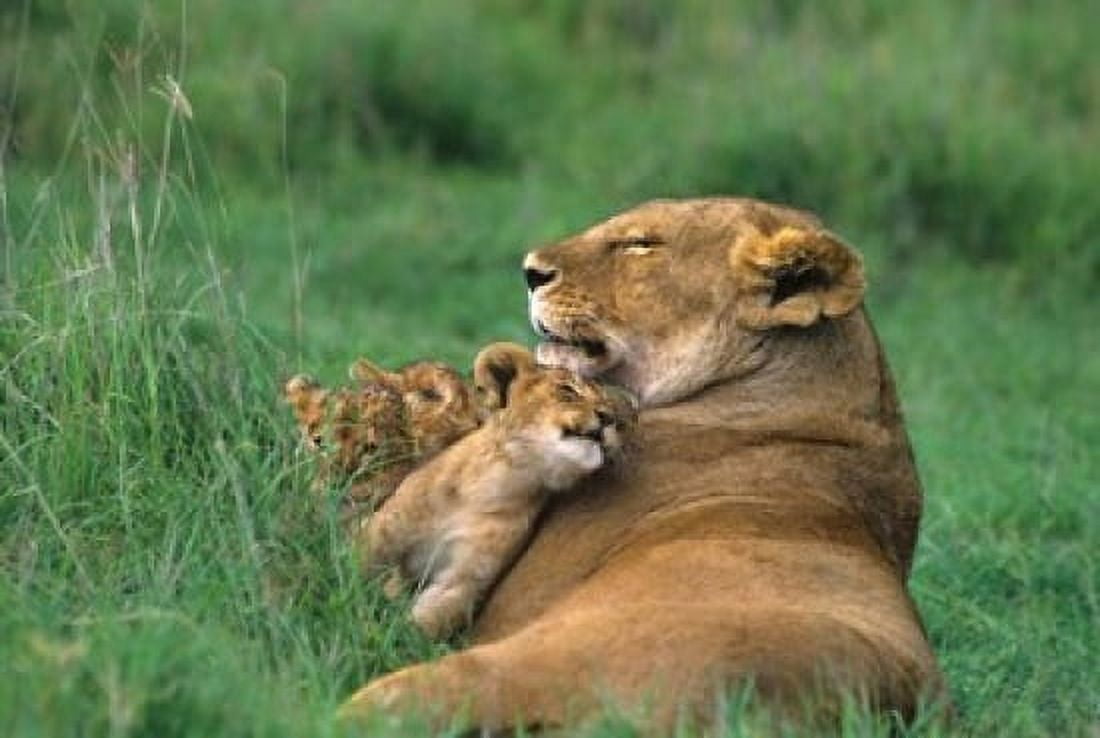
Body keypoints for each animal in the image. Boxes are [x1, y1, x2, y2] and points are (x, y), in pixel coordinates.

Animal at [359, 342, 636, 640]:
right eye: (568, 390)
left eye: (612, 410)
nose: (609, 418)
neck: (499, 481)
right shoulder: (383, 531)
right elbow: (354, 567)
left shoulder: (466, 579)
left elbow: (425, 622)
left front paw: (388, 636)